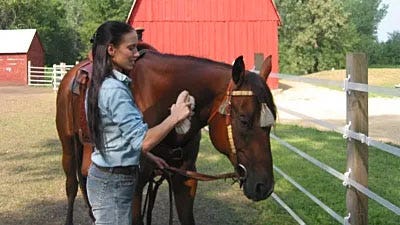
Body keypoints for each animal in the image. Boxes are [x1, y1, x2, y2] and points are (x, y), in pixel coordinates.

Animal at [55, 48, 276, 223]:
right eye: (244, 120)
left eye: (271, 123)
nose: (264, 186)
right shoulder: (134, 187)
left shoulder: (185, 178)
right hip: (68, 148)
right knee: (72, 186)